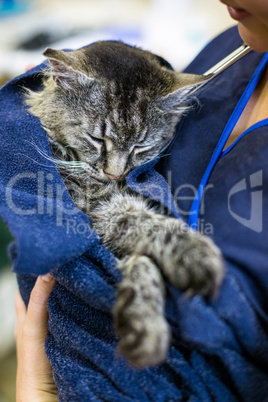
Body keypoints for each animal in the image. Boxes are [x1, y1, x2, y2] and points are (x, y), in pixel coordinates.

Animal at [24, 40, 224, 368]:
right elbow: (149, 232)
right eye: (96, 139)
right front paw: (194, 255)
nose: (115, 174)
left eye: (140, 147)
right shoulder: (96, 210)